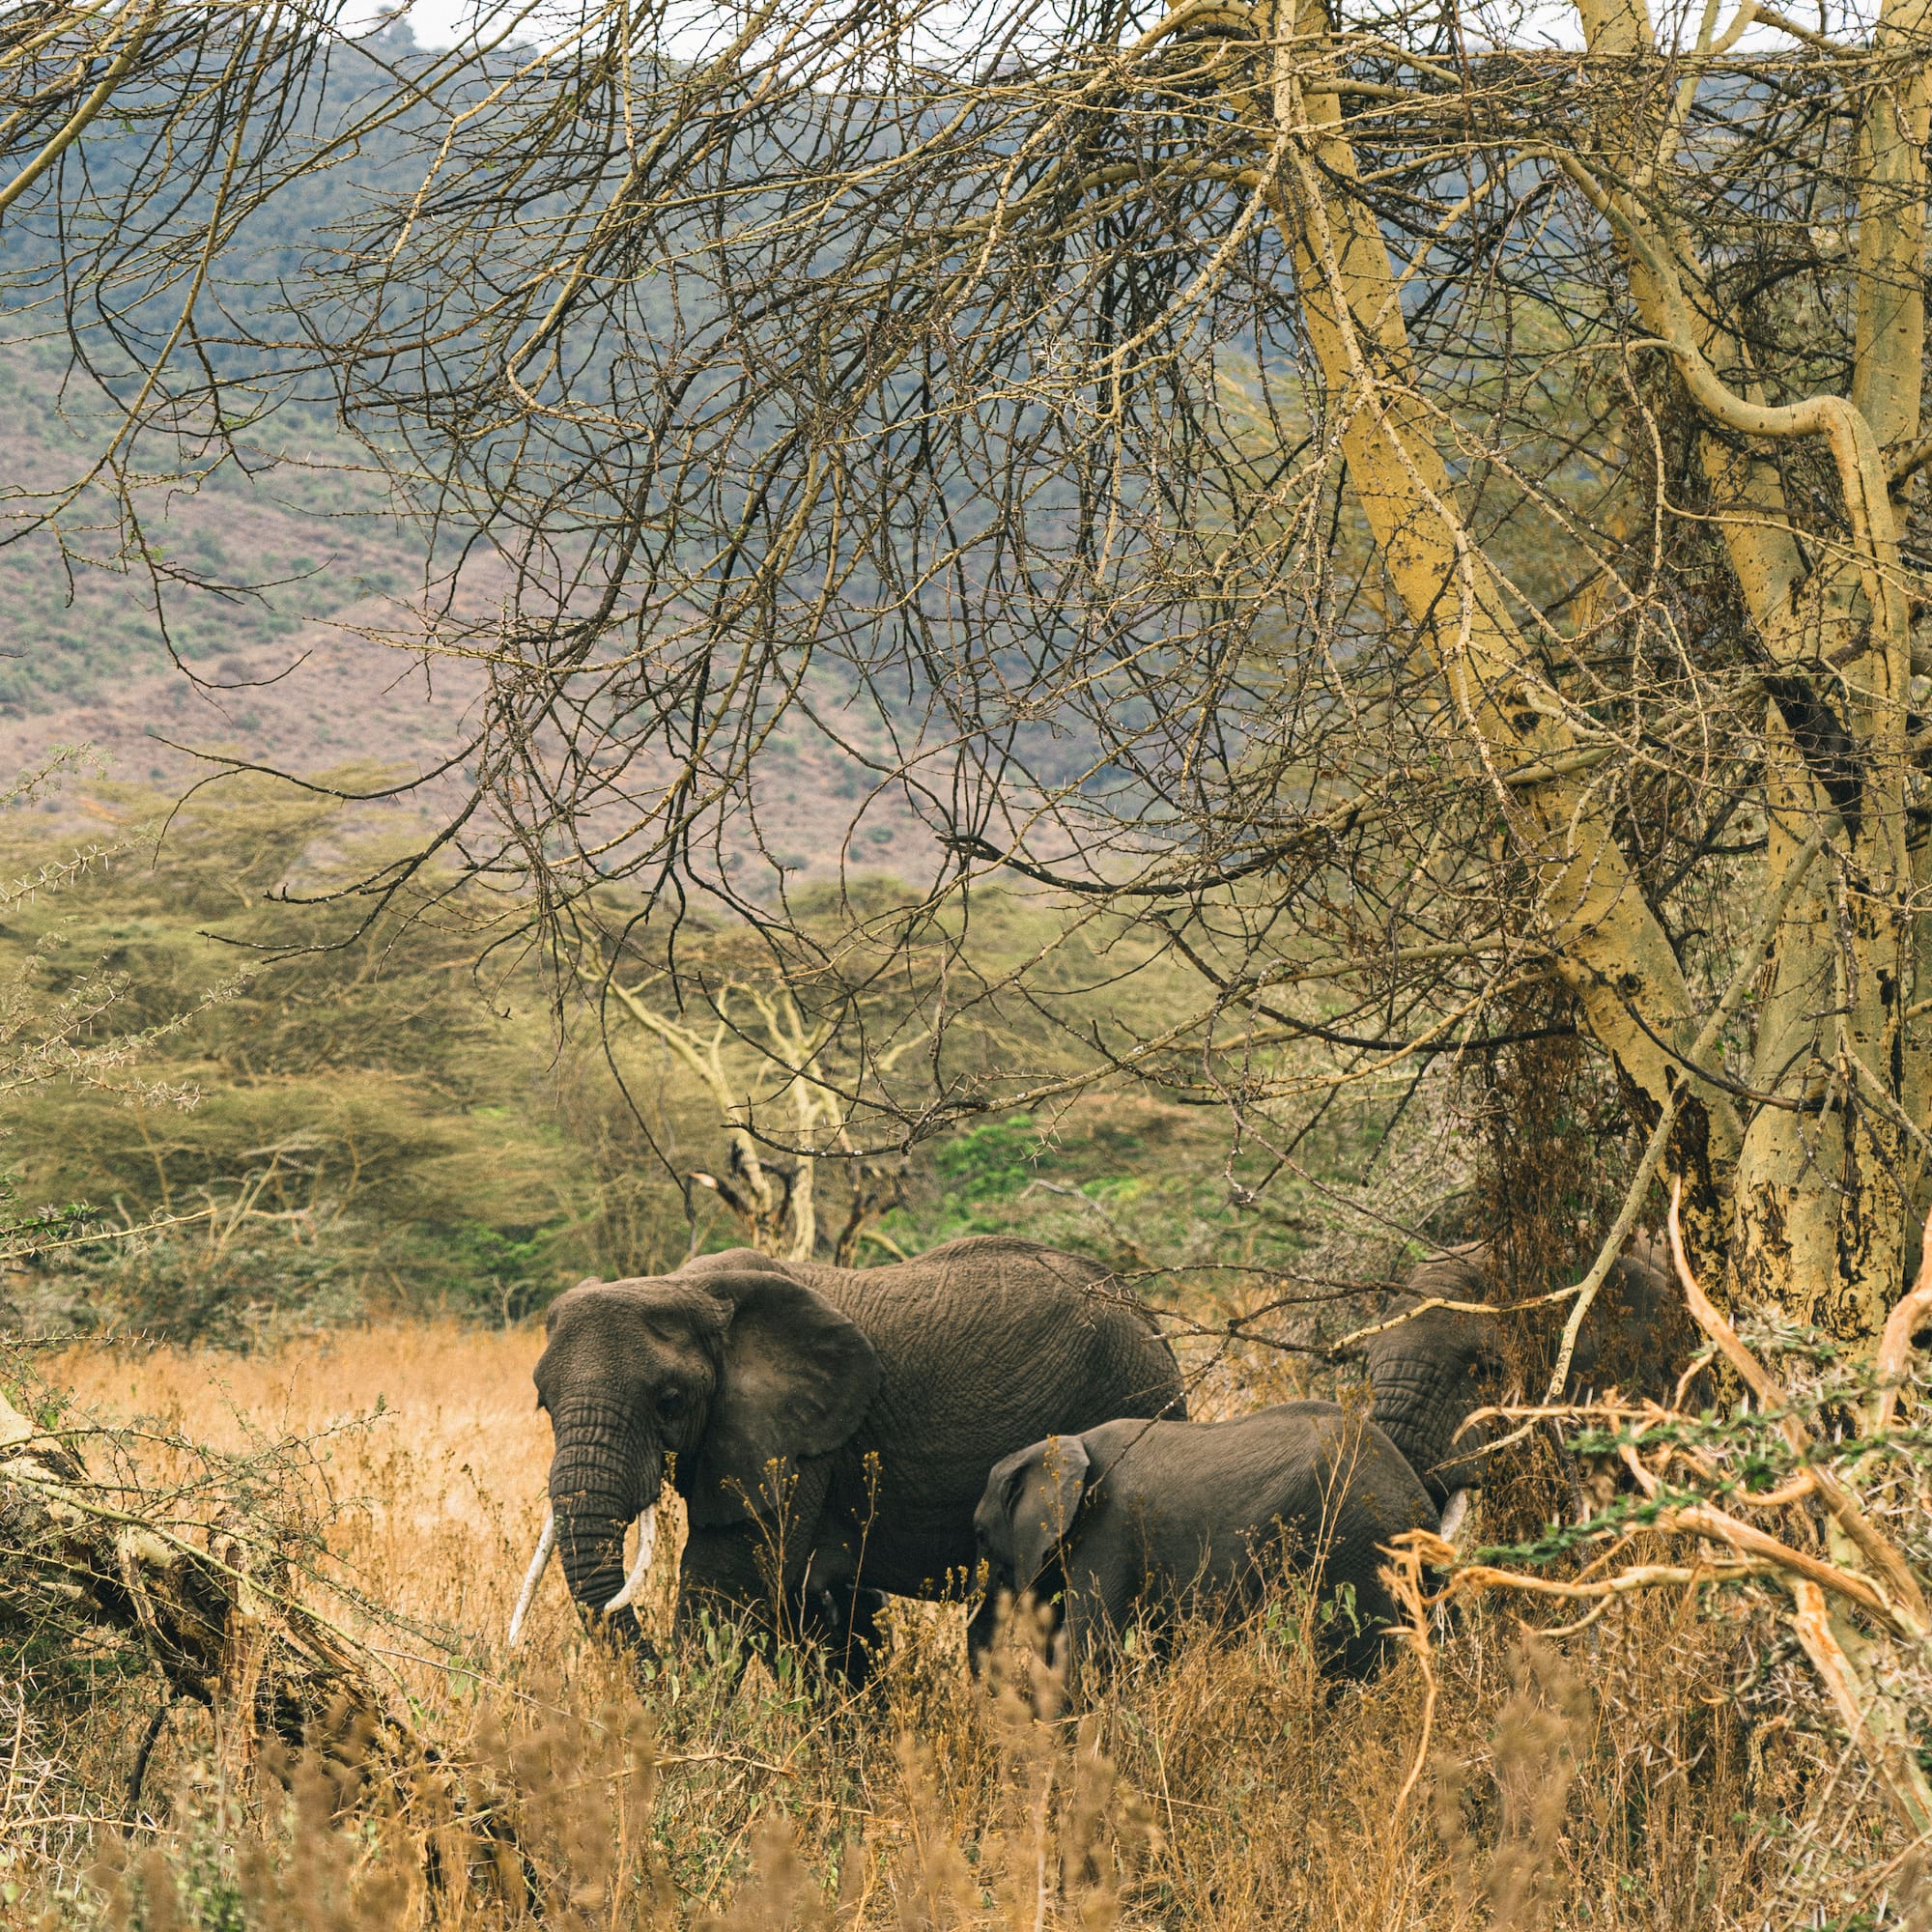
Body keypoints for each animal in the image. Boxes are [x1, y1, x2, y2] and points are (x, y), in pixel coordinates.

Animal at [508, 1235, 1186, 1680]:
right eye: (543, 1403)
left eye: (669, 1402)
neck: (690, 1286)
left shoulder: (799, 1442)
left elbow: (732, 1582)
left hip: (1131, 1400)